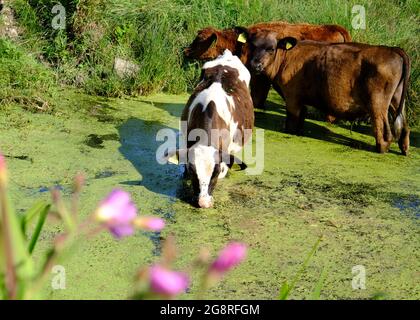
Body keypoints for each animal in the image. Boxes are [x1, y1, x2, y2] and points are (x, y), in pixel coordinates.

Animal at [184, 21, 352, 114]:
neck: (240, 45)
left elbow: (257, 99)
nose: (185, 50)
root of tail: (333, 27)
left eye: (199, 39)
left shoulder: (259, 78)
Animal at [249, 31, 410, 155]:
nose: (256, 64)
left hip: (377, 104)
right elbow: (302, 117)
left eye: (271, 48)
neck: (286, 58)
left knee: (384, 131)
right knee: (404, 127)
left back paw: (380, 149)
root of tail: (393, 49)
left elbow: (292, 123)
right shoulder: (301, 100)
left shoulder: (292, 97)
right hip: (397, 101)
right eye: (253, 46)